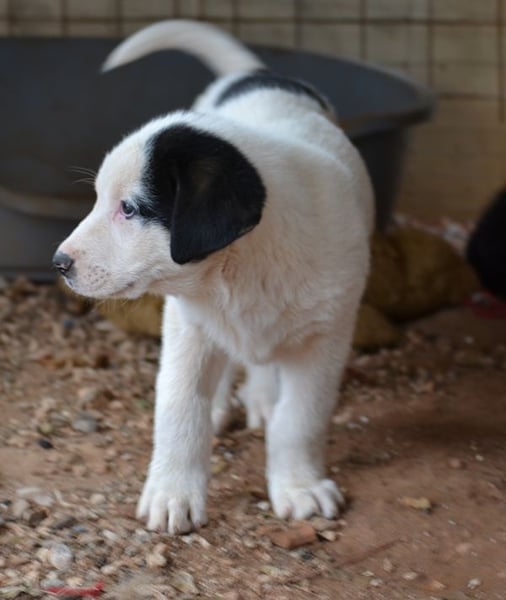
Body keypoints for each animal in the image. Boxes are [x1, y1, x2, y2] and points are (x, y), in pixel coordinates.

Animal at [53, 20, 374, 534]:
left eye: (130, 209)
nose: (59, 263)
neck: (239, 269)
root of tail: (257, 75)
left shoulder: (325, 338)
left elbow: (300, 418)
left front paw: (298, 486)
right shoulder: (188, 327)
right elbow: (180, 409)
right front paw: (172, 493)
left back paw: (261, 397)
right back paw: (225, 403)